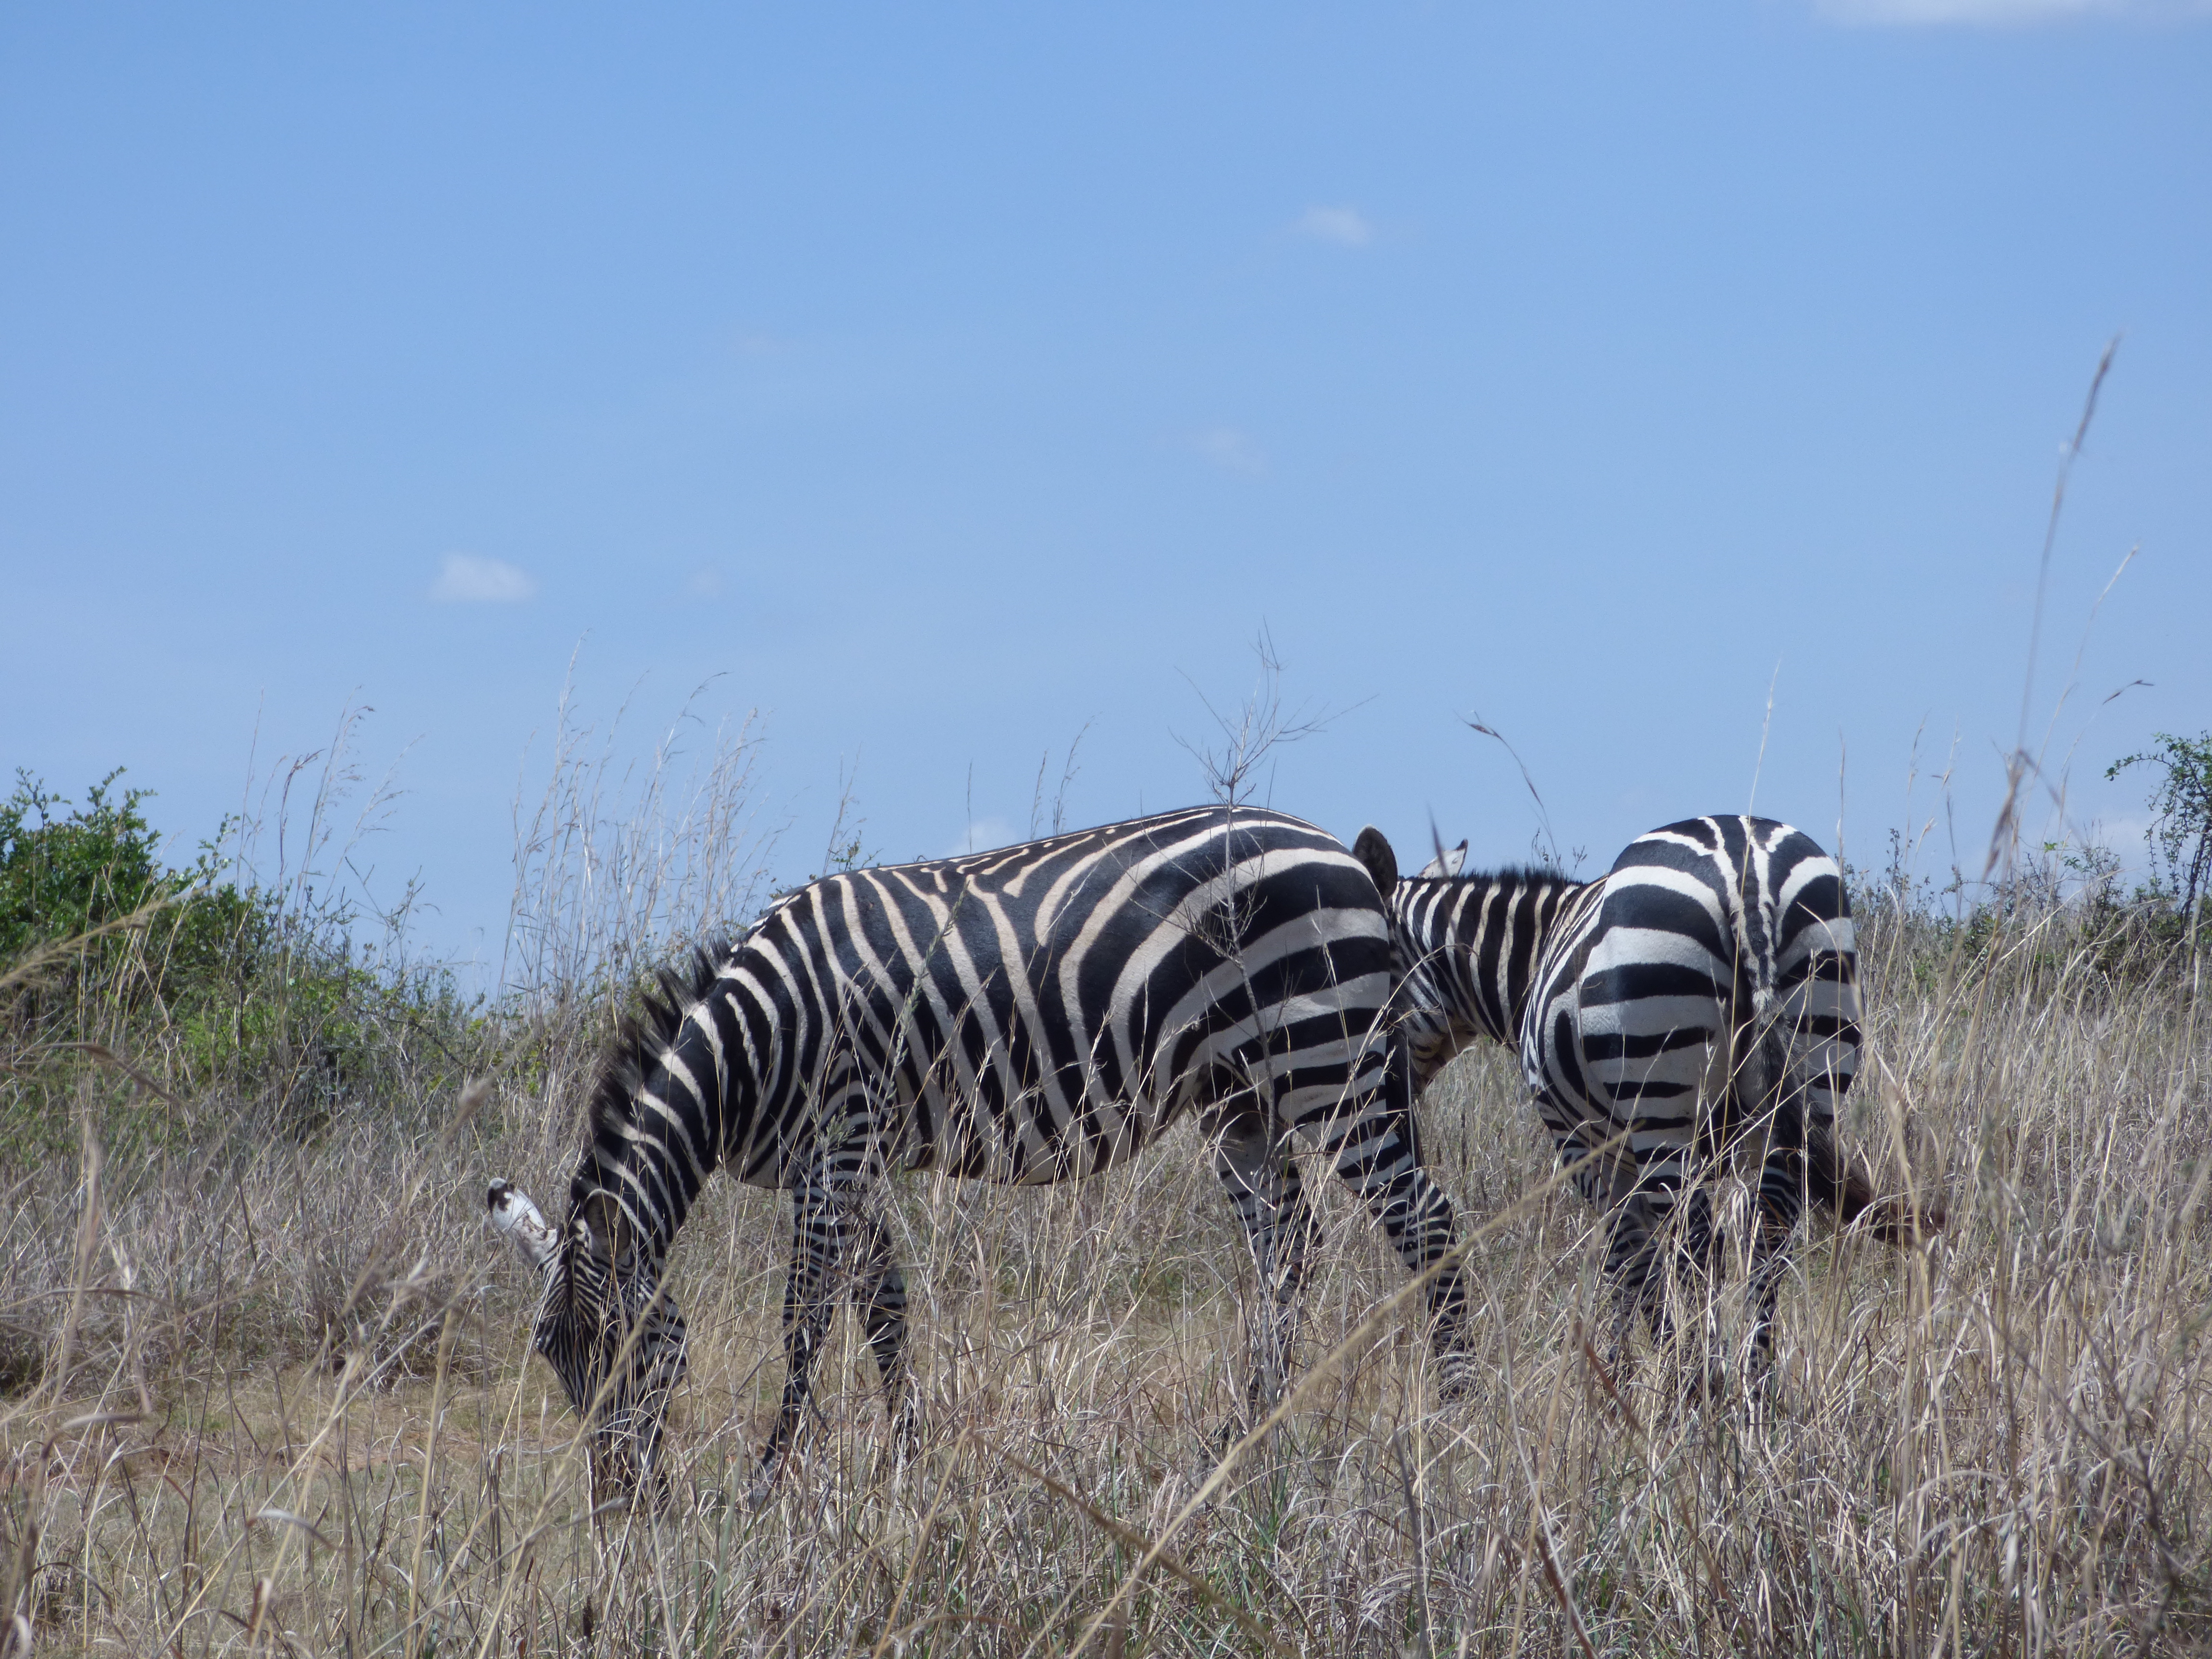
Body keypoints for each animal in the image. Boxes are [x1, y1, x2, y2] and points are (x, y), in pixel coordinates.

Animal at [488, 805, 1475, 1501]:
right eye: (552, 1357)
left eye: (624, 1350)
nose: (621, 1509)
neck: (754, 1043)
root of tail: (1344, 852)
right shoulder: (855, 1164)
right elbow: (883, 1311)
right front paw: (907, 1465)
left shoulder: (835, 1147)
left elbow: (805, 1319)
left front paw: (772, 1480)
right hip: (1241, 1098)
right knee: (1288, 1251)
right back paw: (1239, 1445)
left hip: (1326, 1060)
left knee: (1426, 1223)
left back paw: (1459, 1427)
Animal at [1351, 813, 1936, 1381]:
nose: (1390, 1105)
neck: (1531, 956)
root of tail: (1742, 871)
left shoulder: (1587, 1146)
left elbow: (1628, 1263)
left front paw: (1625, 1375)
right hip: (1812, 1059)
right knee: (1764, 1238)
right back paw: (1754, 1387)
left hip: (1661, 1100)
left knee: (1697, 1248)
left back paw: (1703, 1389)